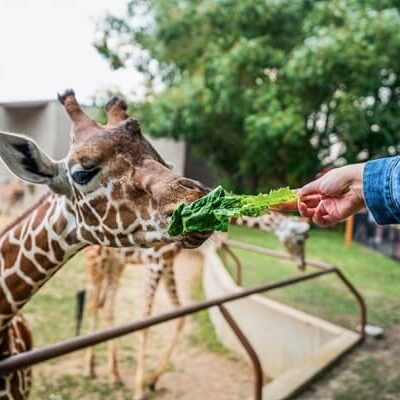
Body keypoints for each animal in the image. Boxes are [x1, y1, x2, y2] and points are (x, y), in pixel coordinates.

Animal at [83, 212, 310, 400]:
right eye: (300, 240)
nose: (302, 265)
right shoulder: (156, 262)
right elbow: (145, 323)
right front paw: (139, 389)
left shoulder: (167, 264)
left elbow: (181, 316)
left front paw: (152, 380)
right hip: (97, 261)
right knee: (94, 304)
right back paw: (90, 369)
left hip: (116, 263)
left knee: (107, 307)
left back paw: (115, 375)